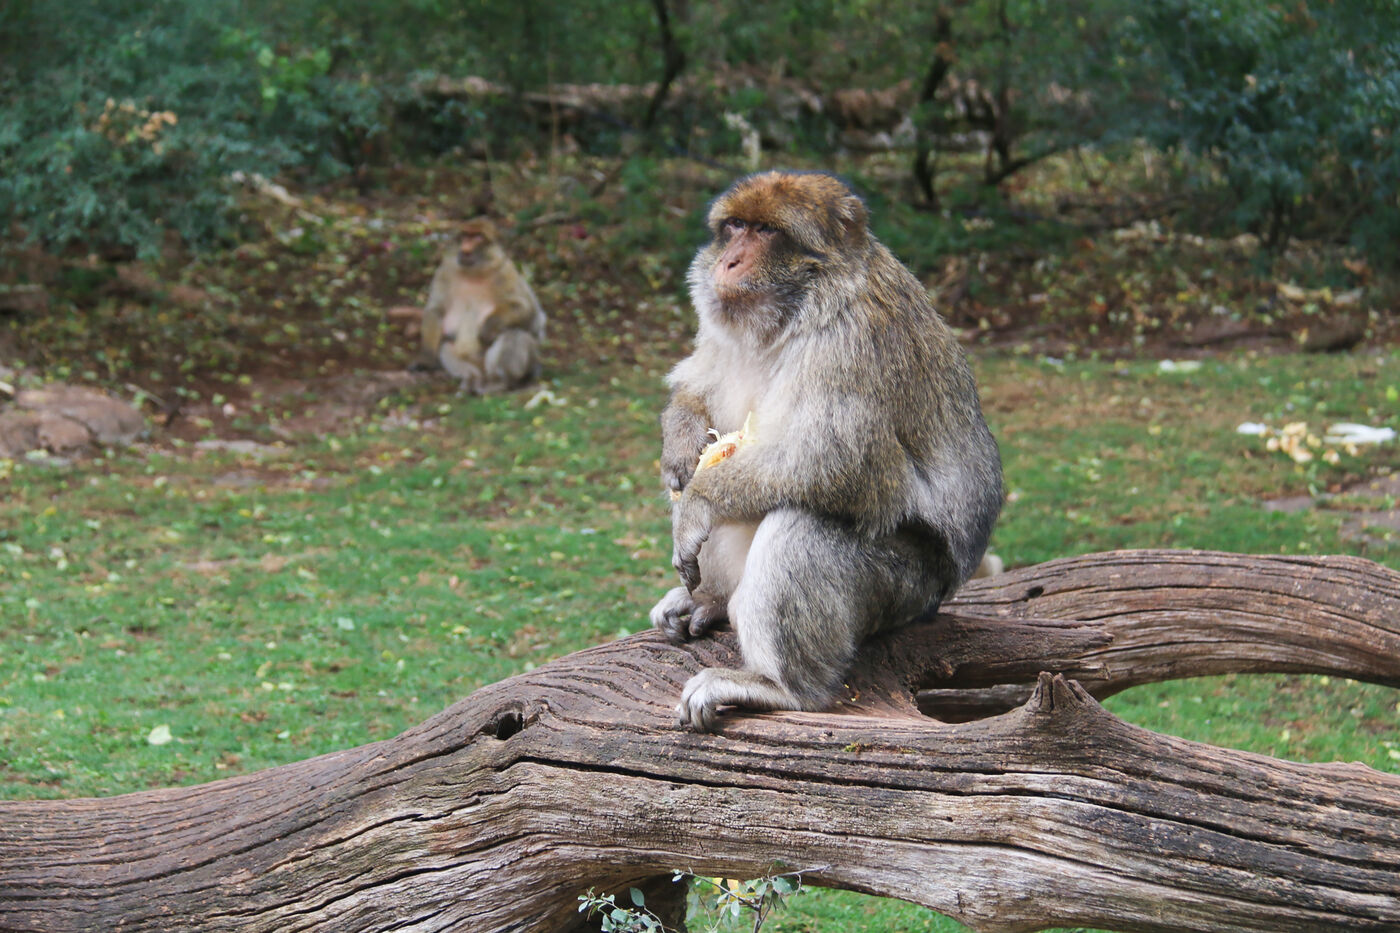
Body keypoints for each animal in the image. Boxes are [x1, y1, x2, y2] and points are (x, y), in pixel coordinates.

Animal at [419, 219, 545, 394]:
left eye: (477, 237)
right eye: (465, 235)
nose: (465, 248)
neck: (474, 272)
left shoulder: (505, 271)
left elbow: (528, 311)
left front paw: (489, 326)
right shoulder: (445, 270)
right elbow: (435, 310)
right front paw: (427, 357)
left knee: (515, 334)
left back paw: (504, 383)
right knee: (445, 346)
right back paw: (471, 380)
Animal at [649, 170, 1003, 732]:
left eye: (767, 232)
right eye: (734, 227)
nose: (729, 262)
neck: (790, 312)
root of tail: (943, 592)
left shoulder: (854, 338)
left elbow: (837, 461)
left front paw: (699, 503)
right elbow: (697, 391)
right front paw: (681, 438)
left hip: (905, 591)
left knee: (804, 521)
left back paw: (783, 687)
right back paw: (714, 600)